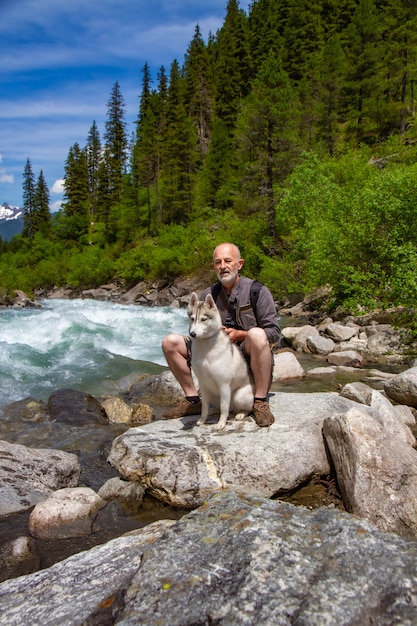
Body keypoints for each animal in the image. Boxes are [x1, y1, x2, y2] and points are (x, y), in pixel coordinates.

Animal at [188, 292, 254, 428]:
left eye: (203, 319)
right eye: (192, 318)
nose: (192, 334)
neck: (205, 347)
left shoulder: (224, 384)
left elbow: (224, 407)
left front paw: (221, 423)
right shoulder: (202, 384)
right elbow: (204, 407)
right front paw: (202, 420)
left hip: (239, 396)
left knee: (246, 408)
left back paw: (241, 414)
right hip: (214, 395)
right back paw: (215, 412)